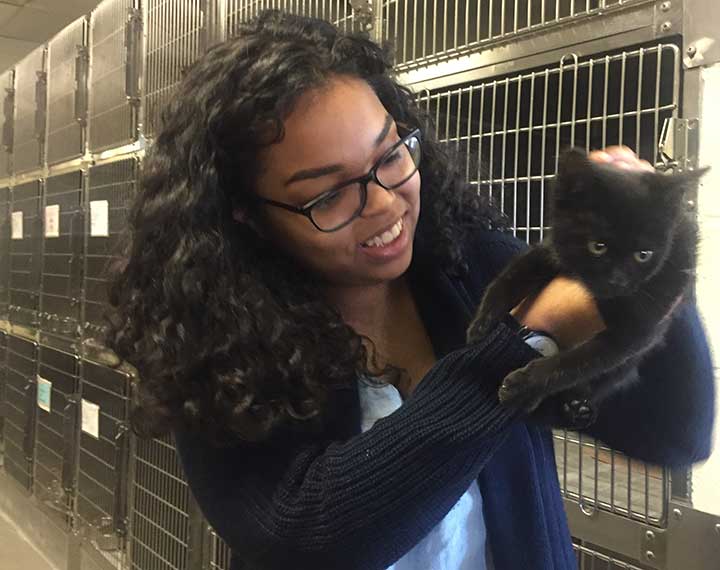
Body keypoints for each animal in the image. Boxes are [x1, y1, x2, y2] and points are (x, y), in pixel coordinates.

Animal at [464, 150, 704, 426]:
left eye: (643, 255)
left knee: (615, 375)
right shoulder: (551, 250)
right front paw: (481, 324)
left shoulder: (642, 326)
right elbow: (510, 277)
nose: (617, 281)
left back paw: (577, 404)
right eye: (597, 247)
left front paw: (524, 388)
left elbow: (577, 363)